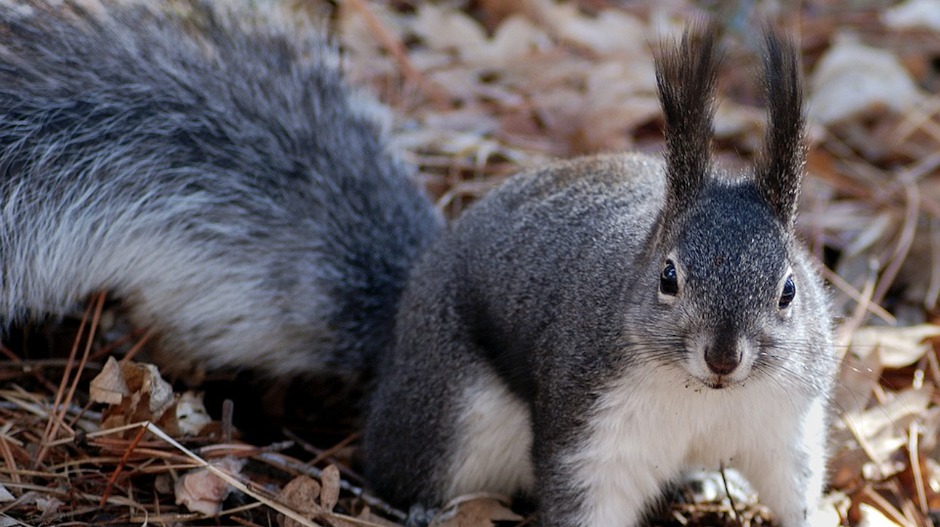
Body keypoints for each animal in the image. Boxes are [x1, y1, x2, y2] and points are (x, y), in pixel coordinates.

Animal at [0, 1, 836, 527]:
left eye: (790, 288)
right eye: (668, 277)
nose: (724, 355)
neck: (705, 401)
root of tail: (402, 321)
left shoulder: (784, 424)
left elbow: (793, 488)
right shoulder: (591, 423)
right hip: (451, 415)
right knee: (399, 463)